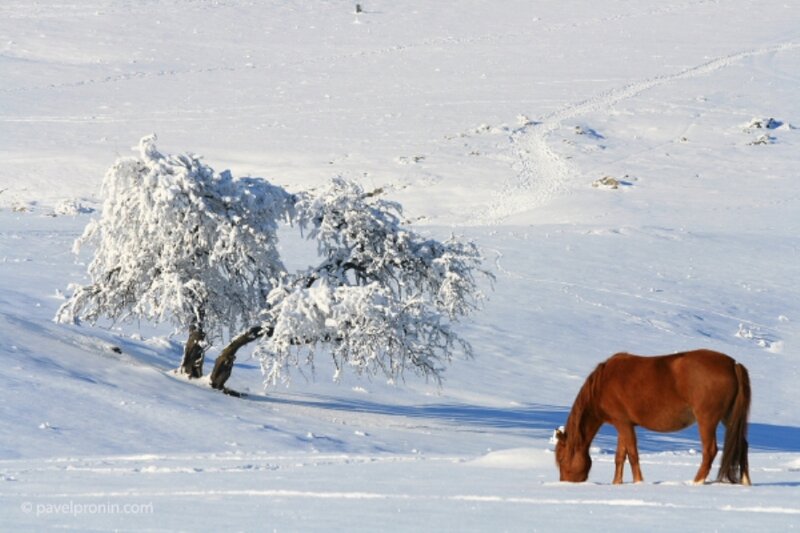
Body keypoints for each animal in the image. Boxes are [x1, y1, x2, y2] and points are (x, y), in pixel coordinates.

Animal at [554, 349, 751, 485]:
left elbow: (632, 454)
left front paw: (638, 482)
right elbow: (620, 456)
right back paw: (745, 481)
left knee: (710, 450)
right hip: (729, 418)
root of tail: (733, 364)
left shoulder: (622, 423)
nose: (564, 483)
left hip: (707, 420)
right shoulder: (623, 425)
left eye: (562, 459)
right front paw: (617, 483)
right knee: (742, 444)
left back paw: (696, 482)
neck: (603, 383)